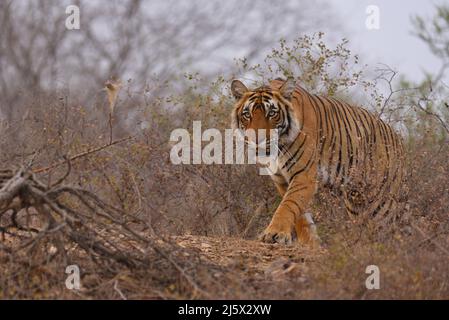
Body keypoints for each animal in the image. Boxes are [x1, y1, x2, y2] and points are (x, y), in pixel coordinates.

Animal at [231, 77, 402, 245]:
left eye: (272, 113)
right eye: (247, 114)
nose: (256, 140)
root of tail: (396, 135)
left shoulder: (303, 174)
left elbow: (288, 205)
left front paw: (274, 234)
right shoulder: (281, 179)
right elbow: (299, 213)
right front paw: (309, 242)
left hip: (380, 202)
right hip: (356, 202)